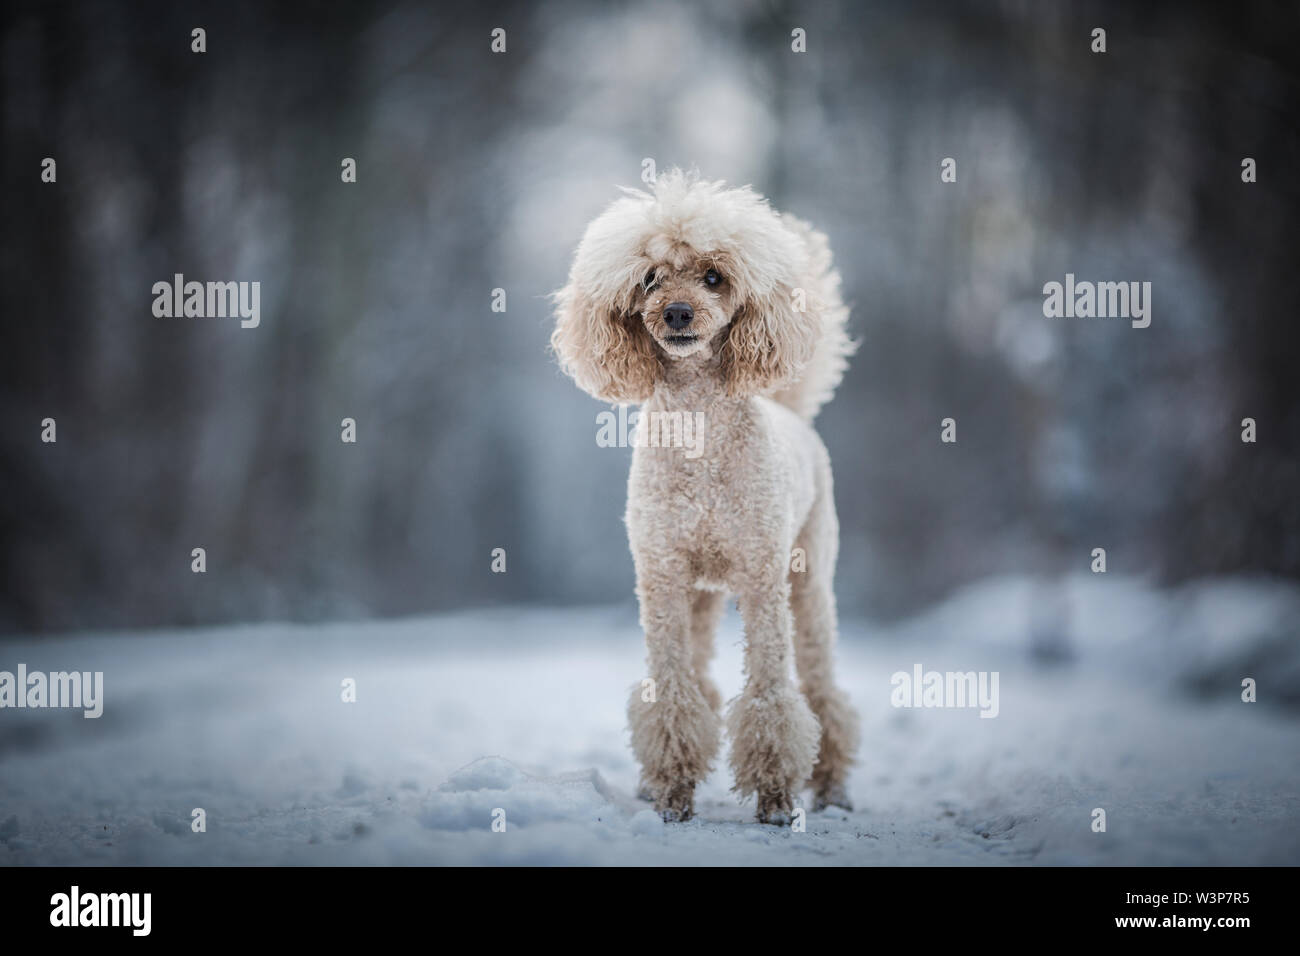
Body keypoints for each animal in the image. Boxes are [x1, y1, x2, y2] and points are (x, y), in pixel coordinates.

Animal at [553, 170, 857, 822]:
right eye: (649, 277)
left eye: (714, 276)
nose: (677, 312)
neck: (698, 434)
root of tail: (793, 412)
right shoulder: (663, 578)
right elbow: (672, 693)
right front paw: (672, 795)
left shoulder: (762, 579)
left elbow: (771, 696)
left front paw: (775, 802)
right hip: (700, 595)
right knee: (699, 674)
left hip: (808, 579)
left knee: (822, 690)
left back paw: (832, 790)